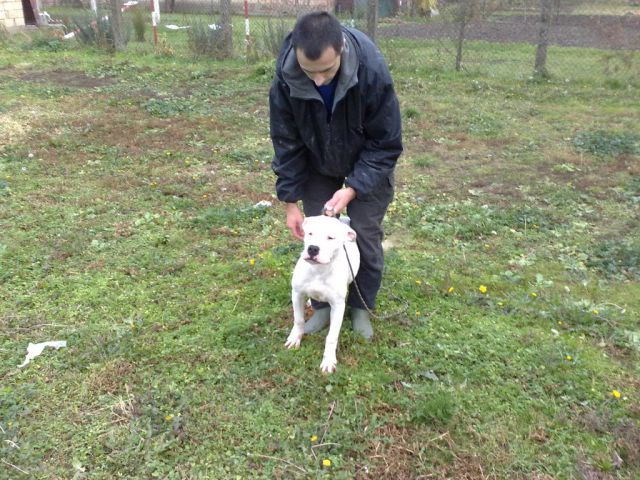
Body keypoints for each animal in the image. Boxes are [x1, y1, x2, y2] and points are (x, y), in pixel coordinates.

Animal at [284, 215, 360, 376]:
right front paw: (295, 338)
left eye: (330, 237)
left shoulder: (338, 307)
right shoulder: (297, 294)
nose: (313, 248)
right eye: (310, 233)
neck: (318, 270)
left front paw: (329, 361)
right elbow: (298, 320)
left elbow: (331, 337)